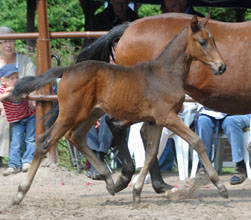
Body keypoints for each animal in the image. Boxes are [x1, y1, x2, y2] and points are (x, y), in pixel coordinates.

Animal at [11, 15, 227, 205]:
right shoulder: (167, 117)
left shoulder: (155, 120)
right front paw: (220, 186)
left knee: (76, 136)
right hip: (71, 114)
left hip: (92, 113)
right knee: (44, 141)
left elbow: (151, 154)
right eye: (203, 42)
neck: (166, 72)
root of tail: (66, 70)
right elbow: (196, 141)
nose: (221, 67)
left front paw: (137, 192)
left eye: (213, 40)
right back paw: (19, 194)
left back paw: (109, 180)